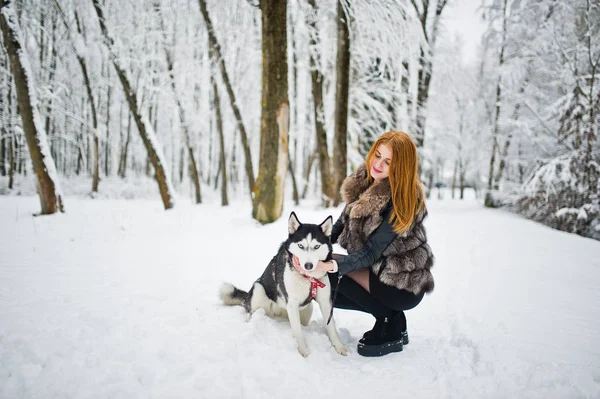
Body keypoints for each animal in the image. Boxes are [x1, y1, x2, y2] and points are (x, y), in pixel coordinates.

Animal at [219, 214, 346, 358]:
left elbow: (331, 327)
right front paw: (303, 351)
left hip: (307, 309)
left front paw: (339, 347)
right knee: (250, 311)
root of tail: (277, 312)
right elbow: (298, 331)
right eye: (300, 246)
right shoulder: (292, 303)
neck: (308, 278)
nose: (308, 265)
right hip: (258, 290)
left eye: (317, 246)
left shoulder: (325, 302)